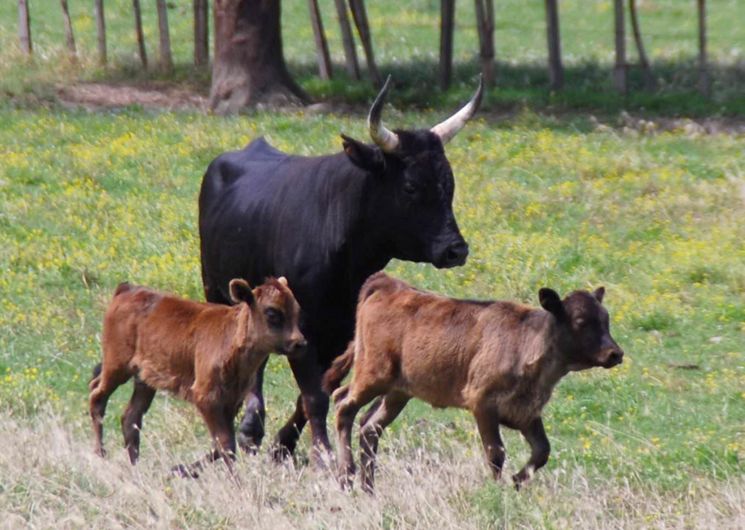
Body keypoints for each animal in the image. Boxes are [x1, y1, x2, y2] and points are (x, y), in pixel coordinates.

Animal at [90, 274, 306, 472]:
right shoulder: (206, 398)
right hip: (117, 368)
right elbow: (226, 445)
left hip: (144, 380)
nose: (300, 343)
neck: (232, 337)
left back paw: (136, 467)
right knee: (97, 396)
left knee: (130, 418)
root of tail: (126, 290)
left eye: (297, 310)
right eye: (272, 313)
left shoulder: (231, 402)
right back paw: (100, 453)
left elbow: (221, 445)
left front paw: (181, 470)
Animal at [199, 75, 482, 462]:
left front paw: (284, 444)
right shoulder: (302, 328)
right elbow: (314, 396)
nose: (456, 249)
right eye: (410, 185)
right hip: (215, 289)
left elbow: (319, 390)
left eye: (449, 184)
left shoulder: (342, 332)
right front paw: (321, 453)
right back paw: (247, 426)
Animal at [324, 272, 620, 490]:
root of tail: (387, 284)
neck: (527, 343)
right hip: (372, 376)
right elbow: (496, 453)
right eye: (580, 321)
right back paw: (346, 475)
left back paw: (369, 487)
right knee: (343, 404)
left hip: (398, 392)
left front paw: (516, 481)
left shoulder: (526, 413)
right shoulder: (483, 403)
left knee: (370, 427)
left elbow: (542, 451)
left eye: (605, 318)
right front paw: (497, 489)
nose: (615, 353)